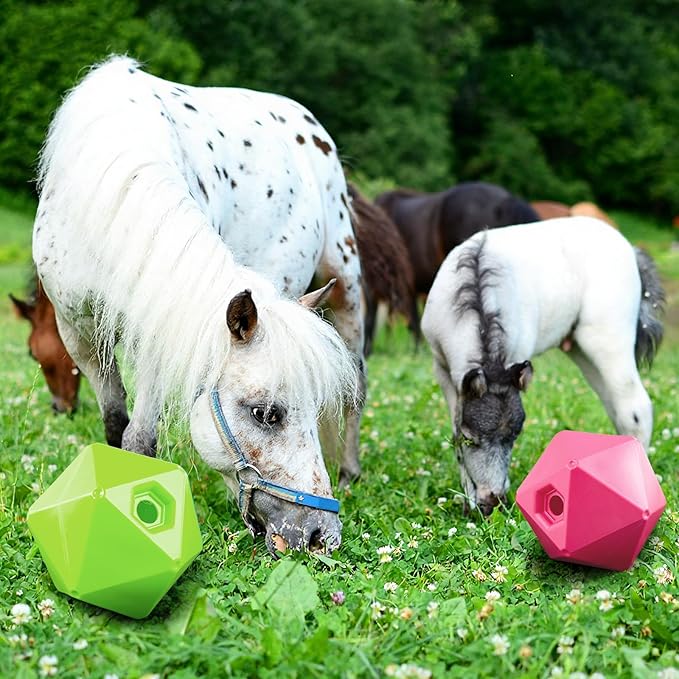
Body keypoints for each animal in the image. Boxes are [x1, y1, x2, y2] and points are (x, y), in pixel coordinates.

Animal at [33, 56, 365, 555]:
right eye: (266, 414)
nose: (320, 535)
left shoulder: (159, 335)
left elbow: (140, 439)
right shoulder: (81, 337)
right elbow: (115, 426)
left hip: (346, 289)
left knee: (357, 390)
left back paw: (349, 471)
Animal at [421, 216, 664, 516]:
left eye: (515, 437)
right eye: (472, 438)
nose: (493, 502)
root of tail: (631, 249)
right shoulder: (442, 369)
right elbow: (455, 429)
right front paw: (469, 501)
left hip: (607, 340)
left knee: (634, 406)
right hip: (582, 349)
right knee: (616, 406)